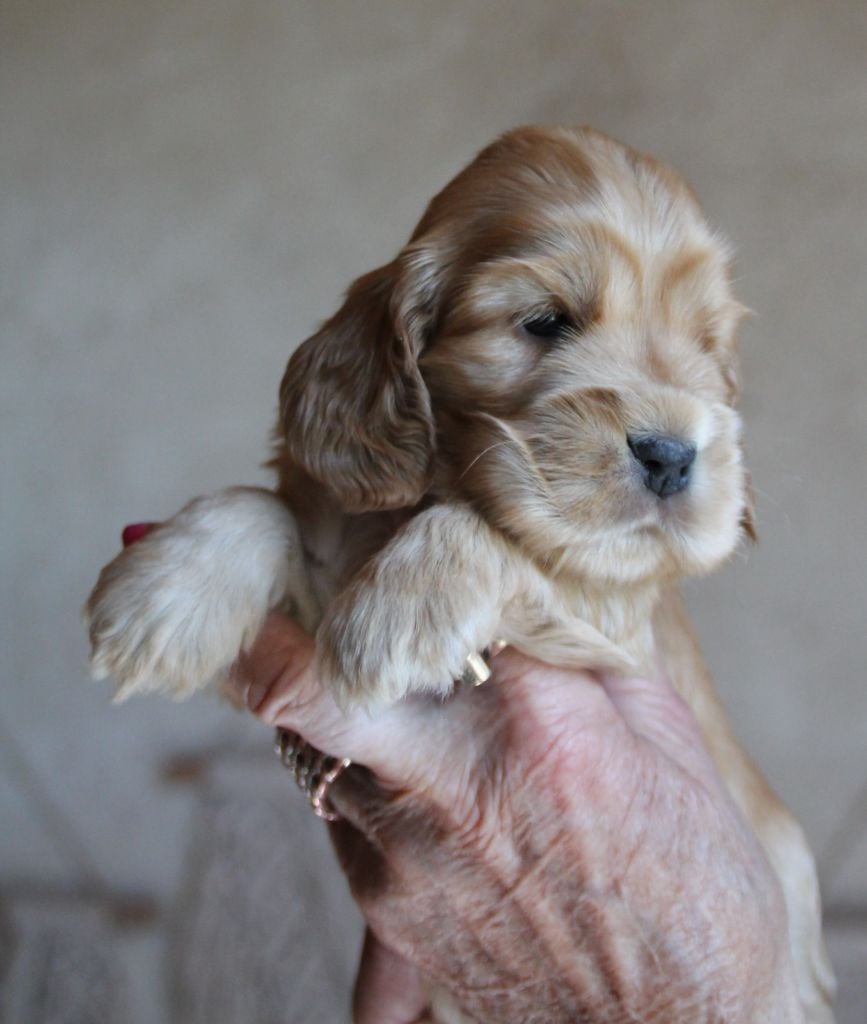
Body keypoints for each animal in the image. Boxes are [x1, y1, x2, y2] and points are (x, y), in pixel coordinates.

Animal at [85, 126, 835, 1022]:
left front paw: (399, 612)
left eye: (706, 354)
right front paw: (163, 594)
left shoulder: (616, 620)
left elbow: (504, 541)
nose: (672, 455)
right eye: (545, 322)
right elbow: (265, 509)